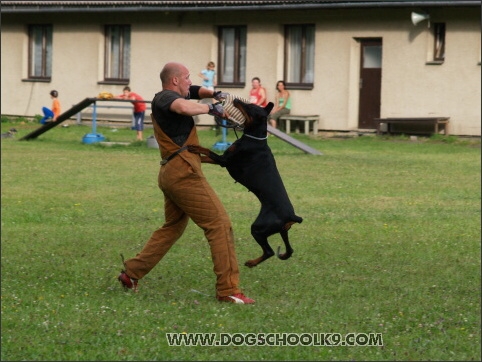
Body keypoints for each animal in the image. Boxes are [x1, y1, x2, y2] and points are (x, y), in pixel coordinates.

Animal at [188, 97, 302, 268]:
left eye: (250, 107)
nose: (235, 99)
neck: (254, 139)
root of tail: (292, 216)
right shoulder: (223, 160)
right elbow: (205, 158)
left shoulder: (225, 160)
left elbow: (207, 152)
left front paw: (195, 147)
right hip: (282, 230)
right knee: (289, 250)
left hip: (259, 227)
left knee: (269, 251)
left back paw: (251, 262)